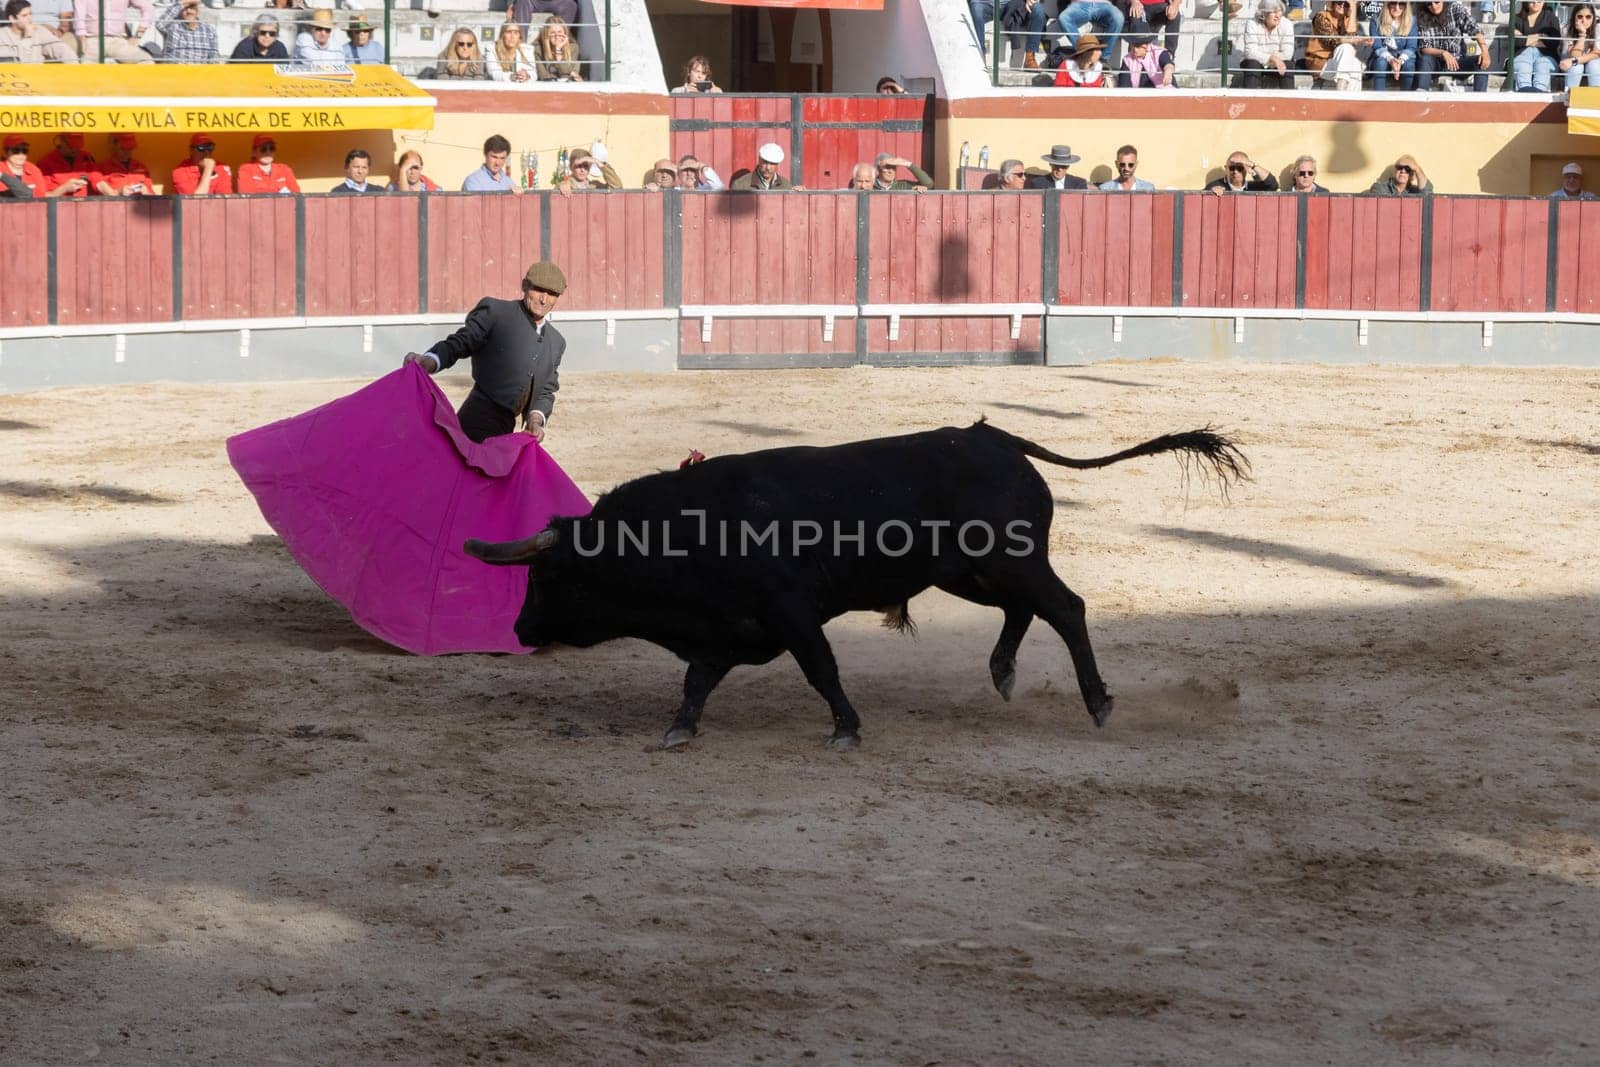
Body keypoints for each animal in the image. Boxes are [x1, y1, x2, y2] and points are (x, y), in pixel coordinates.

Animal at [467, 422, 1248, 748]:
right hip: (966, 572)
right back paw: (1001, 674)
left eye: (551, 574)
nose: (520, 629)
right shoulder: (728, 627)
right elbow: (697, 681)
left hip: (1008, 559)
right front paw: (680, 728)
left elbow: (822, 669)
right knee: (1026, 610)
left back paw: (1098, 703)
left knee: (1066, 606)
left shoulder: (789, 614)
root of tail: (996, 438)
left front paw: (846, 727)